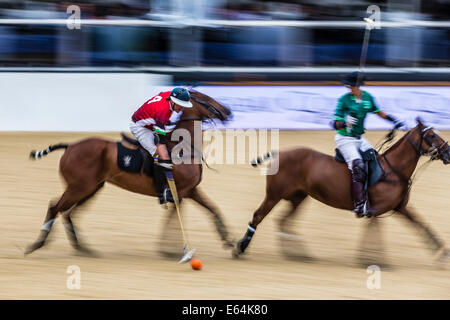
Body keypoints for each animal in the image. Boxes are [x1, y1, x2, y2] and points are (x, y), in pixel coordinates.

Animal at [25, 90, 234, 258]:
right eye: (205, 98)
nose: (228, 111)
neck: (182, 146)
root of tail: (69, 147)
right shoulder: (179, 192)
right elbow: (174, 220)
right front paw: (172, 250)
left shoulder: (190, 191)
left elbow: (213, 209)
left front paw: (228, 240)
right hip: (79, 187)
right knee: (55, 207)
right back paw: (37, 245)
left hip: (91, 188)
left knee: (68, 213)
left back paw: (82, 248)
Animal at [234, 119, 450, 264]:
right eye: (431, 135)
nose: (448, 152)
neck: (393, 169)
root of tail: (280, 153)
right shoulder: (377, 210)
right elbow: (375, 232)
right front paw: (372, 259)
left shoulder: (400, 207)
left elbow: (421, 225)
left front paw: (442, 252)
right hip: (274, 194)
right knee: (258, 216)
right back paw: (240, 248)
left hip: (298, 197)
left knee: (284, 221)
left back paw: (298, 253)